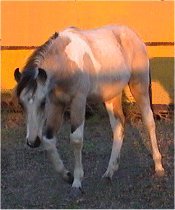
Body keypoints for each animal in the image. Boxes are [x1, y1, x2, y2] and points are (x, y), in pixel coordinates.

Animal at [13, 25, 164, 189]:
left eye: (42, 102)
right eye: (21, 104)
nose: (32, 142)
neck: (66, 62)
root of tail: (134, 35)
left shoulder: (78, 101)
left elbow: (76, 139)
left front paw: (77, 182)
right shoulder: (56, 104)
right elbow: (48, 140)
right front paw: (67, 175)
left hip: (139, 86)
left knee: (149, 121)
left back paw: (158, 167)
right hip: (111, 95)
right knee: (118, 125)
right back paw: (109, 172)